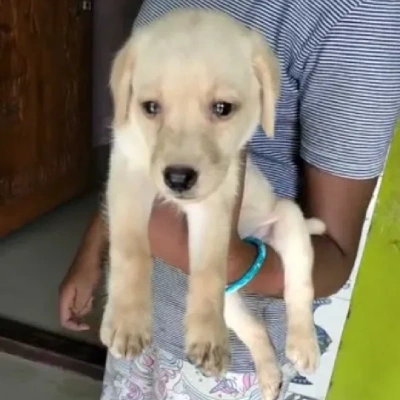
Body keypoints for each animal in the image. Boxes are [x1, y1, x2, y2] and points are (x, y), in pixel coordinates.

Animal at [101, 9, 324, 400]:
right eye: (150, 108)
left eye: (223, 109)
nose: (177, 179)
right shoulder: (127, 177)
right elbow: (130, 250)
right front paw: (127, 320)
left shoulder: (217, 200)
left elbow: (208, 267)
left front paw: (206, 337)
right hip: (232, 301)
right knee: (256, 330)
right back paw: (269, 375)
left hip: (289, 223)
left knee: (298, 289)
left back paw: (304, 344)